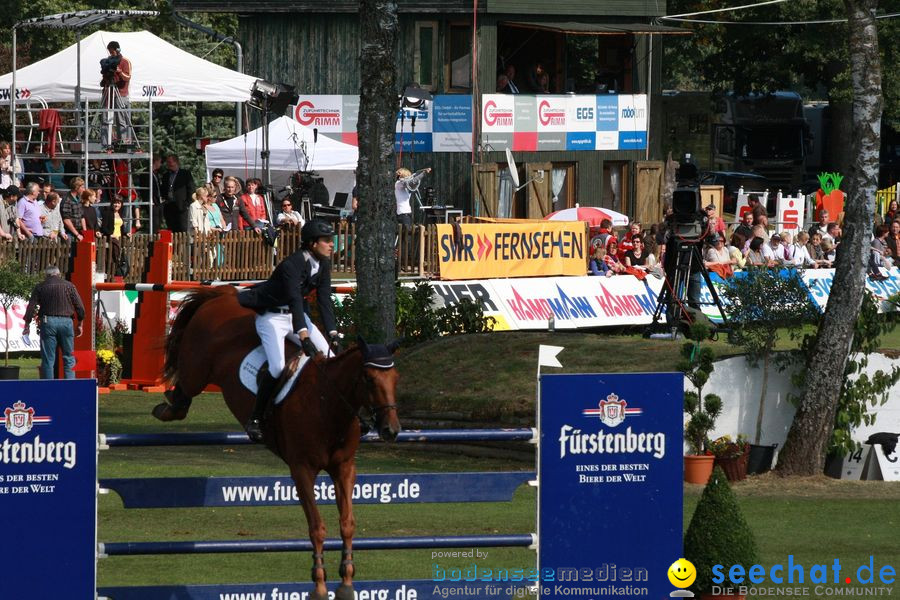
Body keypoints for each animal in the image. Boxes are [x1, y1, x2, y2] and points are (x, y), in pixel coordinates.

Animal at [154, 288, 400, 600]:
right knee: (185, 388)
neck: (328, 404)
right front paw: (319, 585)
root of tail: (223, 296)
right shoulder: (302, 469)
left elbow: (347, 523)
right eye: (368, 379)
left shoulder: (344, 468)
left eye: (395, 378)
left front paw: (346, 582)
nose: (391, 430)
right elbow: (317, 527)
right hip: (196, 369)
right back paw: (168, 408)